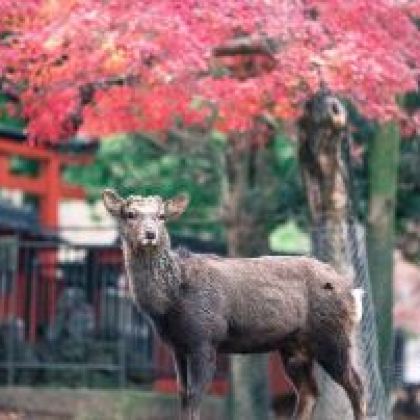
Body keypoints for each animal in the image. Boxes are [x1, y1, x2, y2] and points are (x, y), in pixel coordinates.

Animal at [101, 190, 364, 420]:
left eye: (161, 215)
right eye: (130, 214)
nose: (150, 234)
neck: (169, 304)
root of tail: (352, 291)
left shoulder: (205, 338)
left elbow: (195, 396)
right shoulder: (177, 346)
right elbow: (183, 395)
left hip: (332, 334)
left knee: (356, 384)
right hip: (294, 345)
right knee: (309, 392)